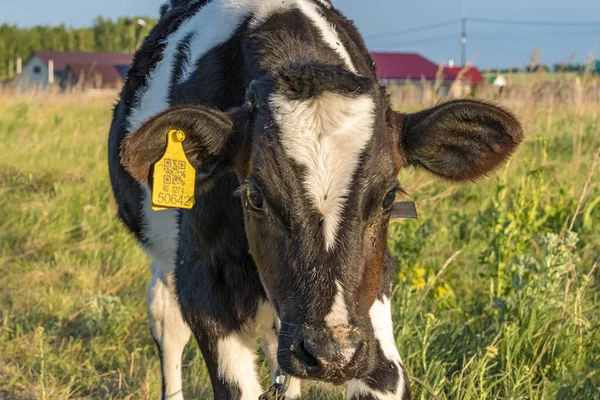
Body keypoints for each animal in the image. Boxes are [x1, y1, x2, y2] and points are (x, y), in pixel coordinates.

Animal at [110, 0, 524, 400]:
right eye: (255, 197)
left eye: (388, 197)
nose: (331, 355)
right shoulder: (203, 284)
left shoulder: (370, 298)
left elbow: (384, 377)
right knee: (166, 318)